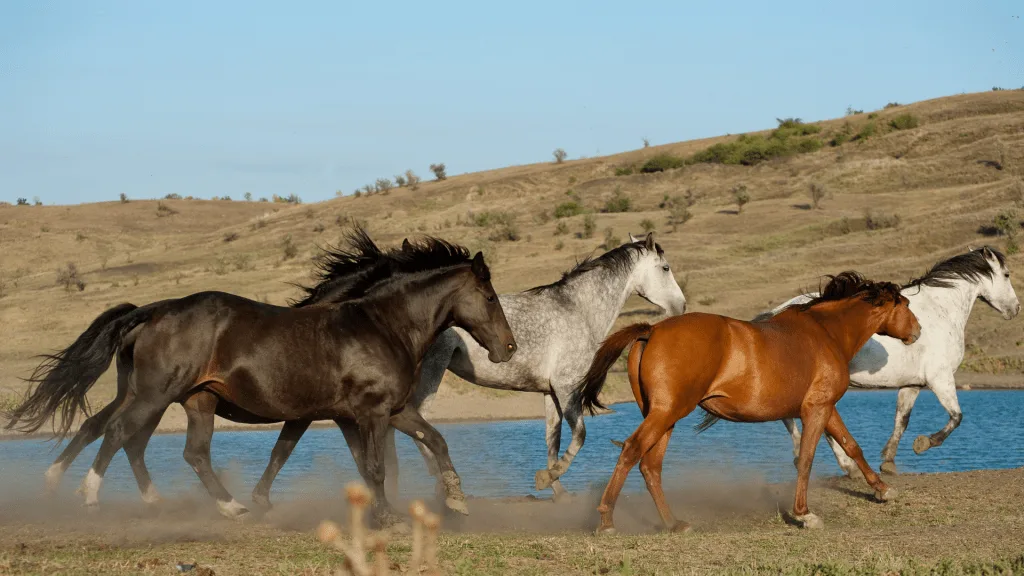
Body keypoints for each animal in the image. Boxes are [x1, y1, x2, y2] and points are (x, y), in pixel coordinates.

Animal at [6, 230, 520, 522]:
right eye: (490, 297)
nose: (508, 348)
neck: (380, 325)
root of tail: (155, 310)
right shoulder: (369, 413)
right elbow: (372, 465)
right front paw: (389, 516)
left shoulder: (378, 412)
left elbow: (429, 443)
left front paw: (453, 502)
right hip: (154, 395)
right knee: (116, 432)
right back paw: (88, 496)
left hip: (193, 400)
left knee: (183, 451)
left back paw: (224, 506)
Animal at [569, 270, 921, 532]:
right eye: (904, 304)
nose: (917, 331)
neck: (826, 332)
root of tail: (651, 331)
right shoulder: (816, 409)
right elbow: (807, 458)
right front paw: (804, 514)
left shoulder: (826, 408)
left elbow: (852, 446)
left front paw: (882, 490)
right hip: (666, 413)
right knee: (632, 451)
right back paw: (606, 520)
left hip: (663, 416)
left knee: (650, 465)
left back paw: (674, 523)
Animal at [753, 247, 1015, 475]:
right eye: (1006, 274)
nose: (1015, 309)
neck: (940, 311)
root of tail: (773, 315)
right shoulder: (940, 378)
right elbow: (956, 417)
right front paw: (923, 443)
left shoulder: (913, 384)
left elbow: (902, 420)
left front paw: (888, 462)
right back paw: (845, 466)